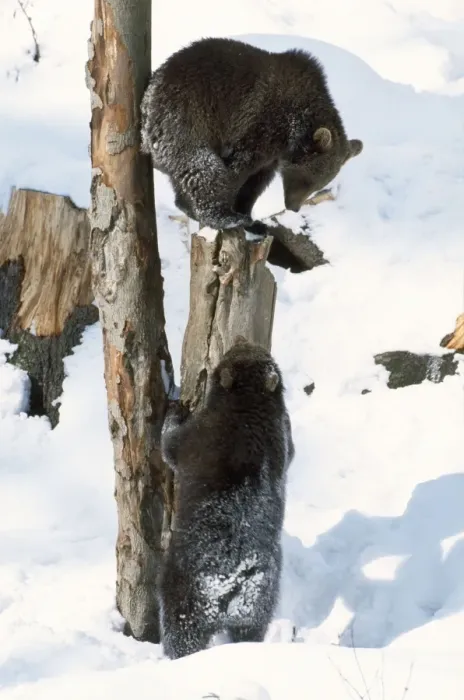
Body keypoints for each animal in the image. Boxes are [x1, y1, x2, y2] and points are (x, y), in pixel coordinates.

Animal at [140, 37, 363, 238]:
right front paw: (237, 211)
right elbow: (239, 168)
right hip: (184, 119)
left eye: (320, 184)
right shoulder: (260, 125)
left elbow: (256, 183)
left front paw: (253, 220)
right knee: (204, 168)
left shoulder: (273, 155)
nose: (294, 207)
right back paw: (225, 218)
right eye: (307, 180)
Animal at [159, 338, 295, 660]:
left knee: (181, 632)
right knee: (251, 630)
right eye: (262, 353)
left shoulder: (198, 435)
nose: (241, 339)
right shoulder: (283, 431)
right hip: (260, 602)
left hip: (185, 593)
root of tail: (233, 584)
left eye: (232, 356)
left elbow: (170, 444)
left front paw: (175, 406)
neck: (249, 407)